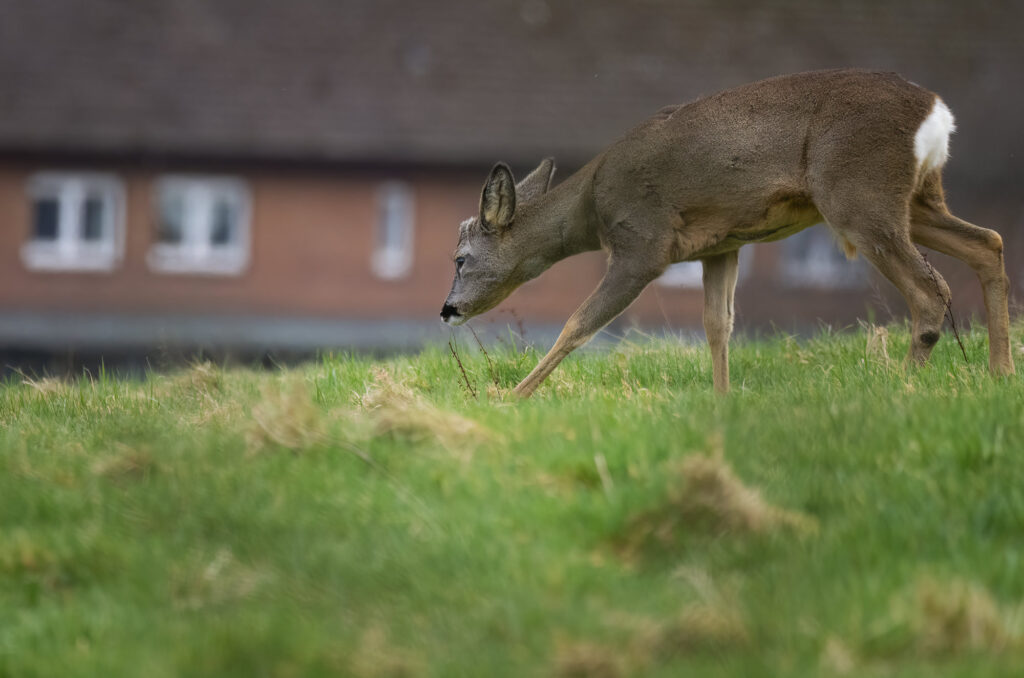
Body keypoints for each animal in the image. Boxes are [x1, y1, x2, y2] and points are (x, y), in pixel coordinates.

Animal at [440, 69, 1015, 397]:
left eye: (461, 257)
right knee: (989, 242)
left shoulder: (642, 244)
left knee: (931, 289)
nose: (448, 309)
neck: (590, 207)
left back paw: (900, 387)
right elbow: (719, 326)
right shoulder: (724, 245)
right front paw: (722, 401)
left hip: (859, 196)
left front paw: (511, 398)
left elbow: (577, 325)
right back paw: (1000, 374)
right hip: (915, 199)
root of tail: (936, 112)